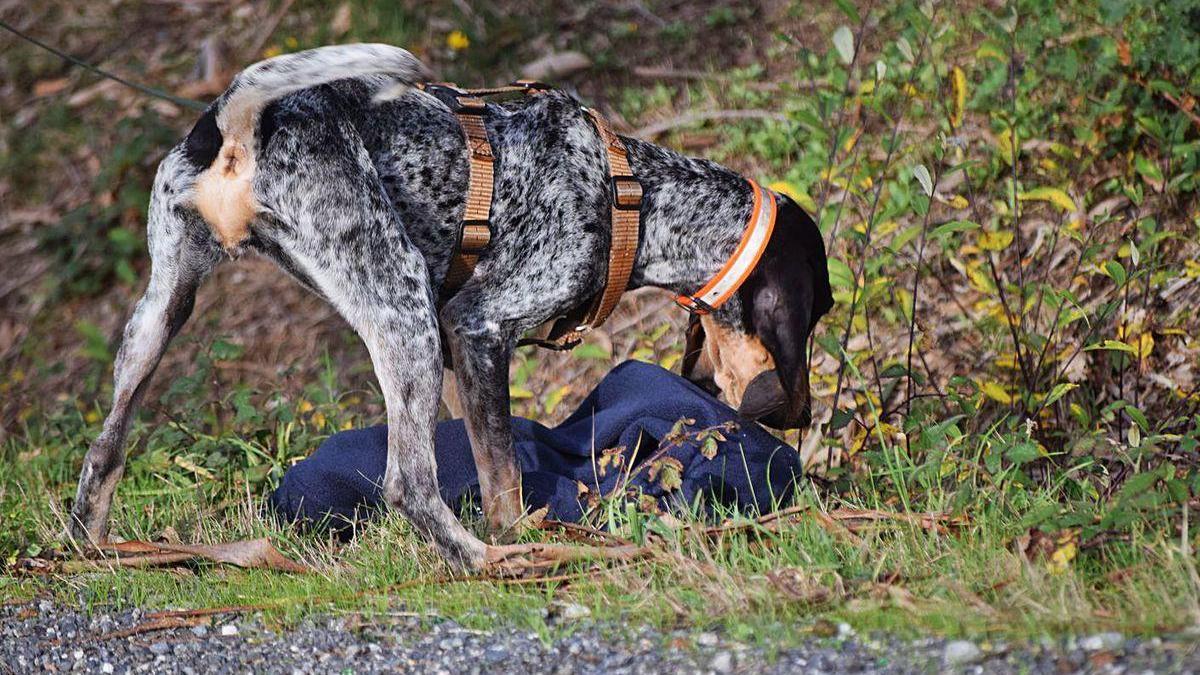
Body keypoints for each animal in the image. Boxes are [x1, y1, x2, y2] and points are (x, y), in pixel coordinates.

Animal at [70, 43, 830, 566]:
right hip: (402, 314)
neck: (634, 196)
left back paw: (90, 551)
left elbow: (497, 468)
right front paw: (518, 541)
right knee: (408, 483)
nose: (802, 414)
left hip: (159, 315)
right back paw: (484, 561)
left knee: (103, 450)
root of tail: (231, 125)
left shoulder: (463, 352)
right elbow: (500, 476)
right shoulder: (478, 327)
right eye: (818, 312)